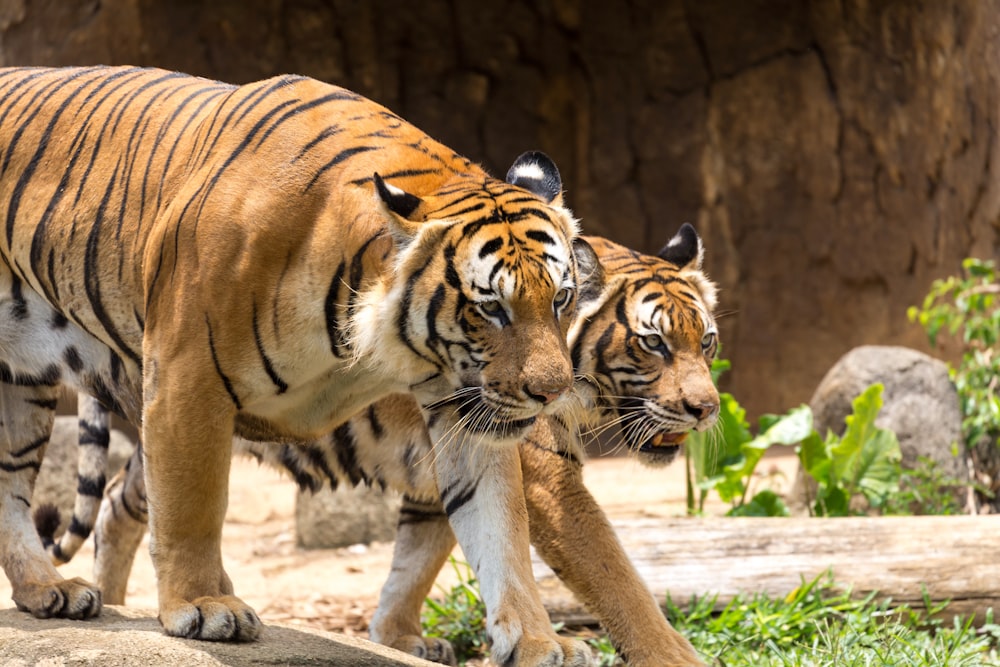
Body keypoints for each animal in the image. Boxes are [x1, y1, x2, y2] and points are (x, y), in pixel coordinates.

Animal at [0, 65, 592, 664]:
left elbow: (500, 528)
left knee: (11, 487)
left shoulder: (461, 407)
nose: (552, 391)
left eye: (561, 298)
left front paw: (539, 641)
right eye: (491, 308)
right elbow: (192, 506)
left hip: (22, 382)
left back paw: (46, 589)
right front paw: (203, 605)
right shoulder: (185, 376)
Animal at [47, 226, 720, 667]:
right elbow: (617, 576)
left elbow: (414, 563)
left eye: (706, 342)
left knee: (120, 504)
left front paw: (396, 639)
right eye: (654, 344)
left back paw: (123, 604)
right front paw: (675, 656)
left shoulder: (447, 468)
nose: (708, 407)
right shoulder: (548, 480)